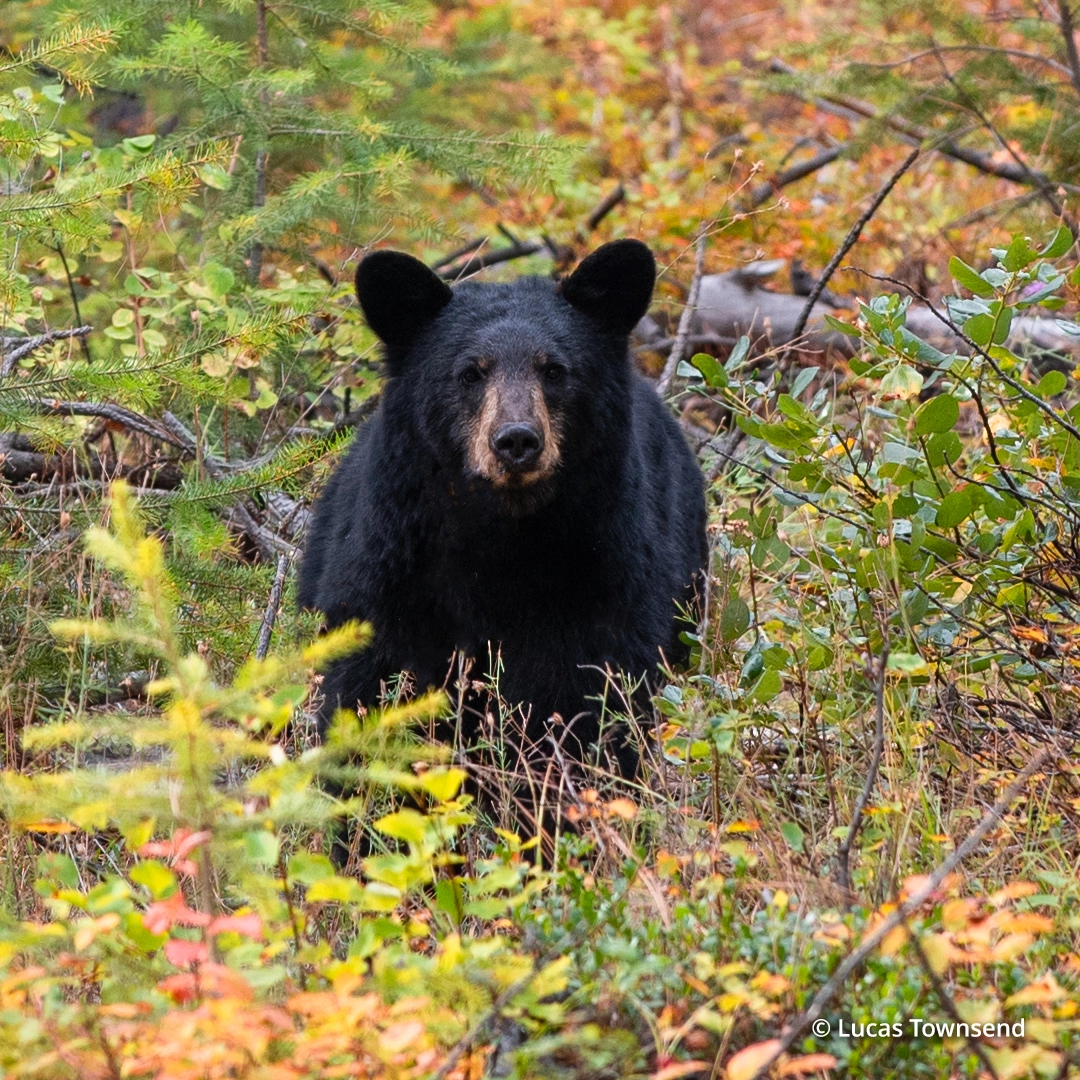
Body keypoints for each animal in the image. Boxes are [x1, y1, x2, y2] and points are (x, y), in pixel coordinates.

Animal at [300, 240, 708, 781]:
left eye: (554, 369)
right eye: (470, 373)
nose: (516, 440)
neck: (504, 535)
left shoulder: (605, 568)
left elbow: (598, 693)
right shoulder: (395, 558)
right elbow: (367, 677)